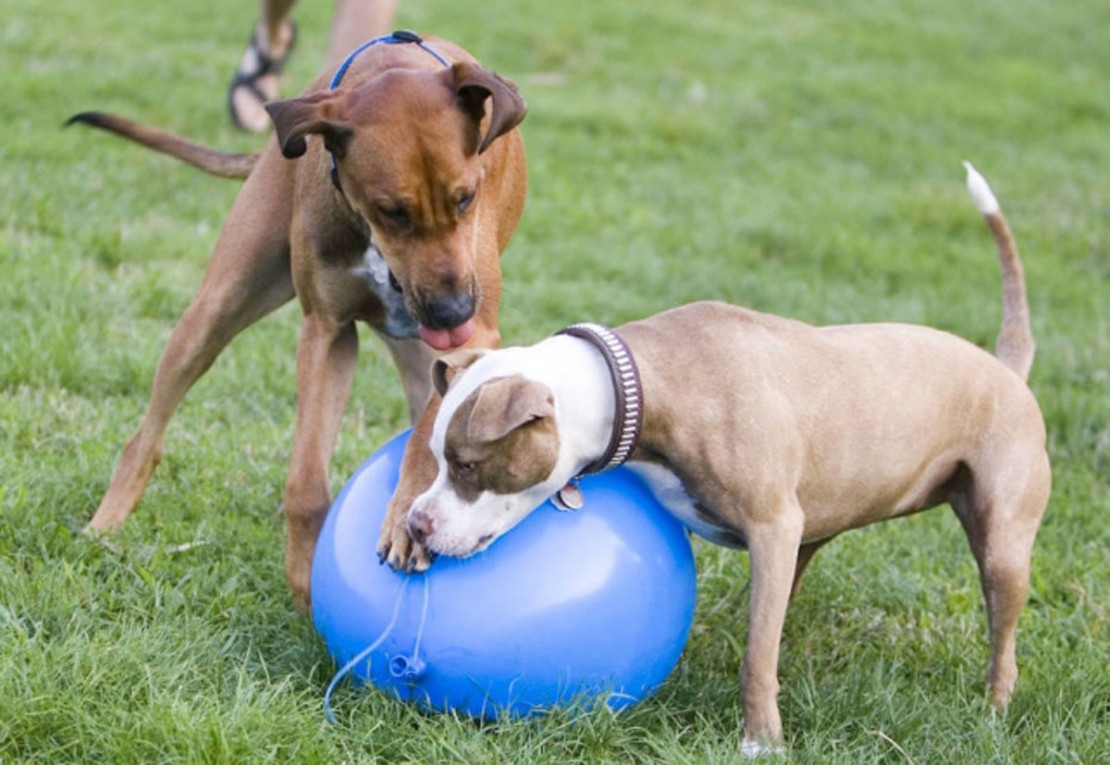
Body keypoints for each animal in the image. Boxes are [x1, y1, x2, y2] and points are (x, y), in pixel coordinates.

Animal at [69, 31, 528, 608]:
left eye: (466, 198)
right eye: (392, 211)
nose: (453, 311)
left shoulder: (473, 336)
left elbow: (430, 434)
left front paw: (405, 516)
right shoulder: (327, 331)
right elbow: (305, 483)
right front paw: (304, 578)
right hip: (217, 306)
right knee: (147, 434)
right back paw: (105, 526)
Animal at [399, 164, 1047, 755]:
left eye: (467, 465)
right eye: (435, 459)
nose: (416, 523)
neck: (637, 384)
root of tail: (1005, 369)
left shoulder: (772, 529)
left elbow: (757, 656)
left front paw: (762, 742)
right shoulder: (774, 537)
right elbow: (761, 636)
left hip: (1002, 545)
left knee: (1003, 636)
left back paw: (992, 714)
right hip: (810, 540)